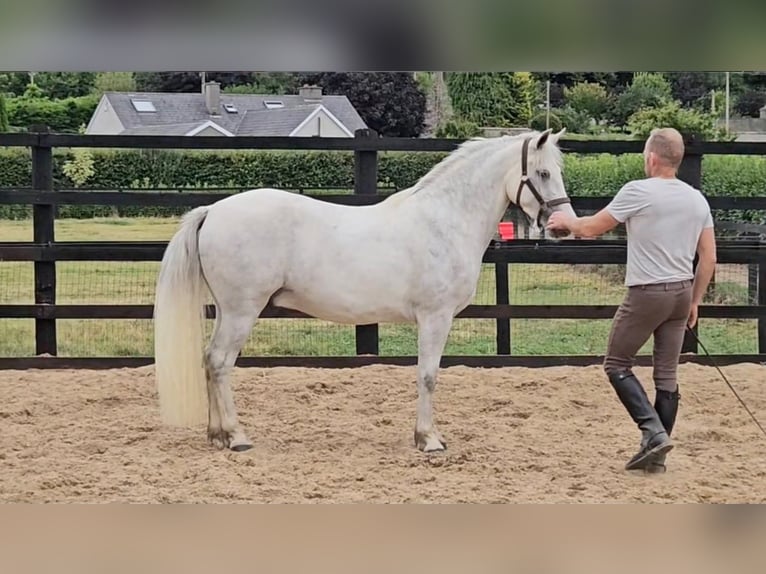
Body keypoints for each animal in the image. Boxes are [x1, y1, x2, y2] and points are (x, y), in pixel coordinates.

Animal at [153, 128, 576, 453]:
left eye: (556, 171)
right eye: (541, 173)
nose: (562, 225)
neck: (444, 220)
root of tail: (213, 211)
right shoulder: (435, 318)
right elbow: (428, 375)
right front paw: (428, 440)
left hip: (227, 310)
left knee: (209, 361)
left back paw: (217, 435)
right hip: (242, 310)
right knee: (221, 362)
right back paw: (237, 436)